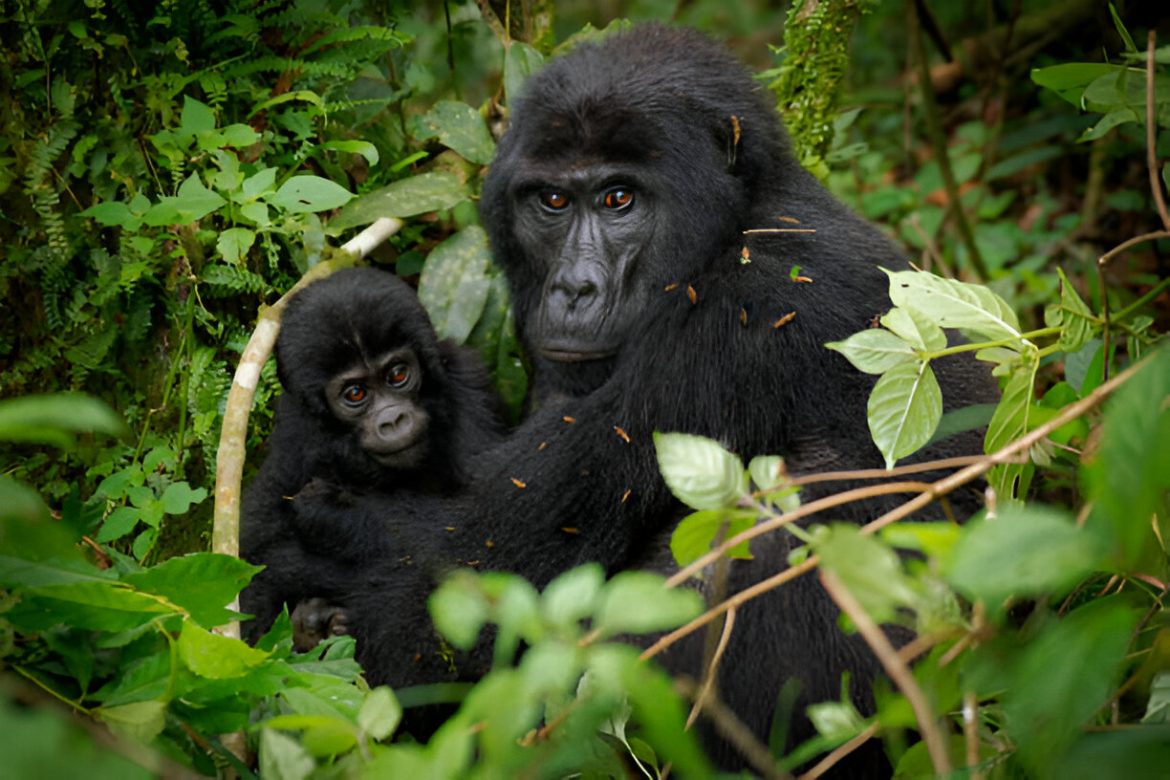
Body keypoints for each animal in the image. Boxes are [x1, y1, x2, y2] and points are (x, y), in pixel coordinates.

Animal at [239, 268, 505, 645]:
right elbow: (254, 557)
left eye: (398, 374)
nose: (392, 420)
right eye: (355, 393)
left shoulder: (467, 379)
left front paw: (333, 513)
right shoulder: (295, 432)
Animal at [322, 21, 996, 771]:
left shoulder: (735, 320)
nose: (574, 290)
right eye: (552, 202)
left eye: (620, 199)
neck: (741, 218)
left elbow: (448, 608)